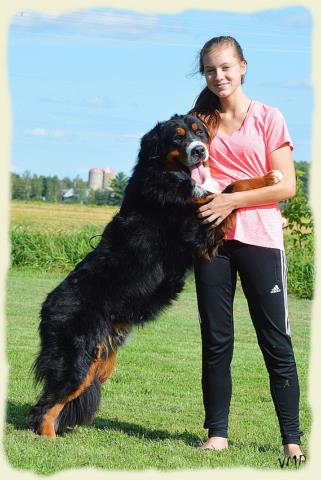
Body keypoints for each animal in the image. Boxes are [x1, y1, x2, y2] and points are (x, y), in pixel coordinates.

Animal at [27, 114, 282, 436]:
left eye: (200, 133)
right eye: (178, 137)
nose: (199, 150)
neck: (166, 176)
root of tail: (47, 306)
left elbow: (228, 187)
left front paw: (268, 178)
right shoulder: (197, 227)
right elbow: (231, 189)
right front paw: (270, 178)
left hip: (99, 362)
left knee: (53, 401)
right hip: (77, 358)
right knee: (46, 406)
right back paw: (49, 438)